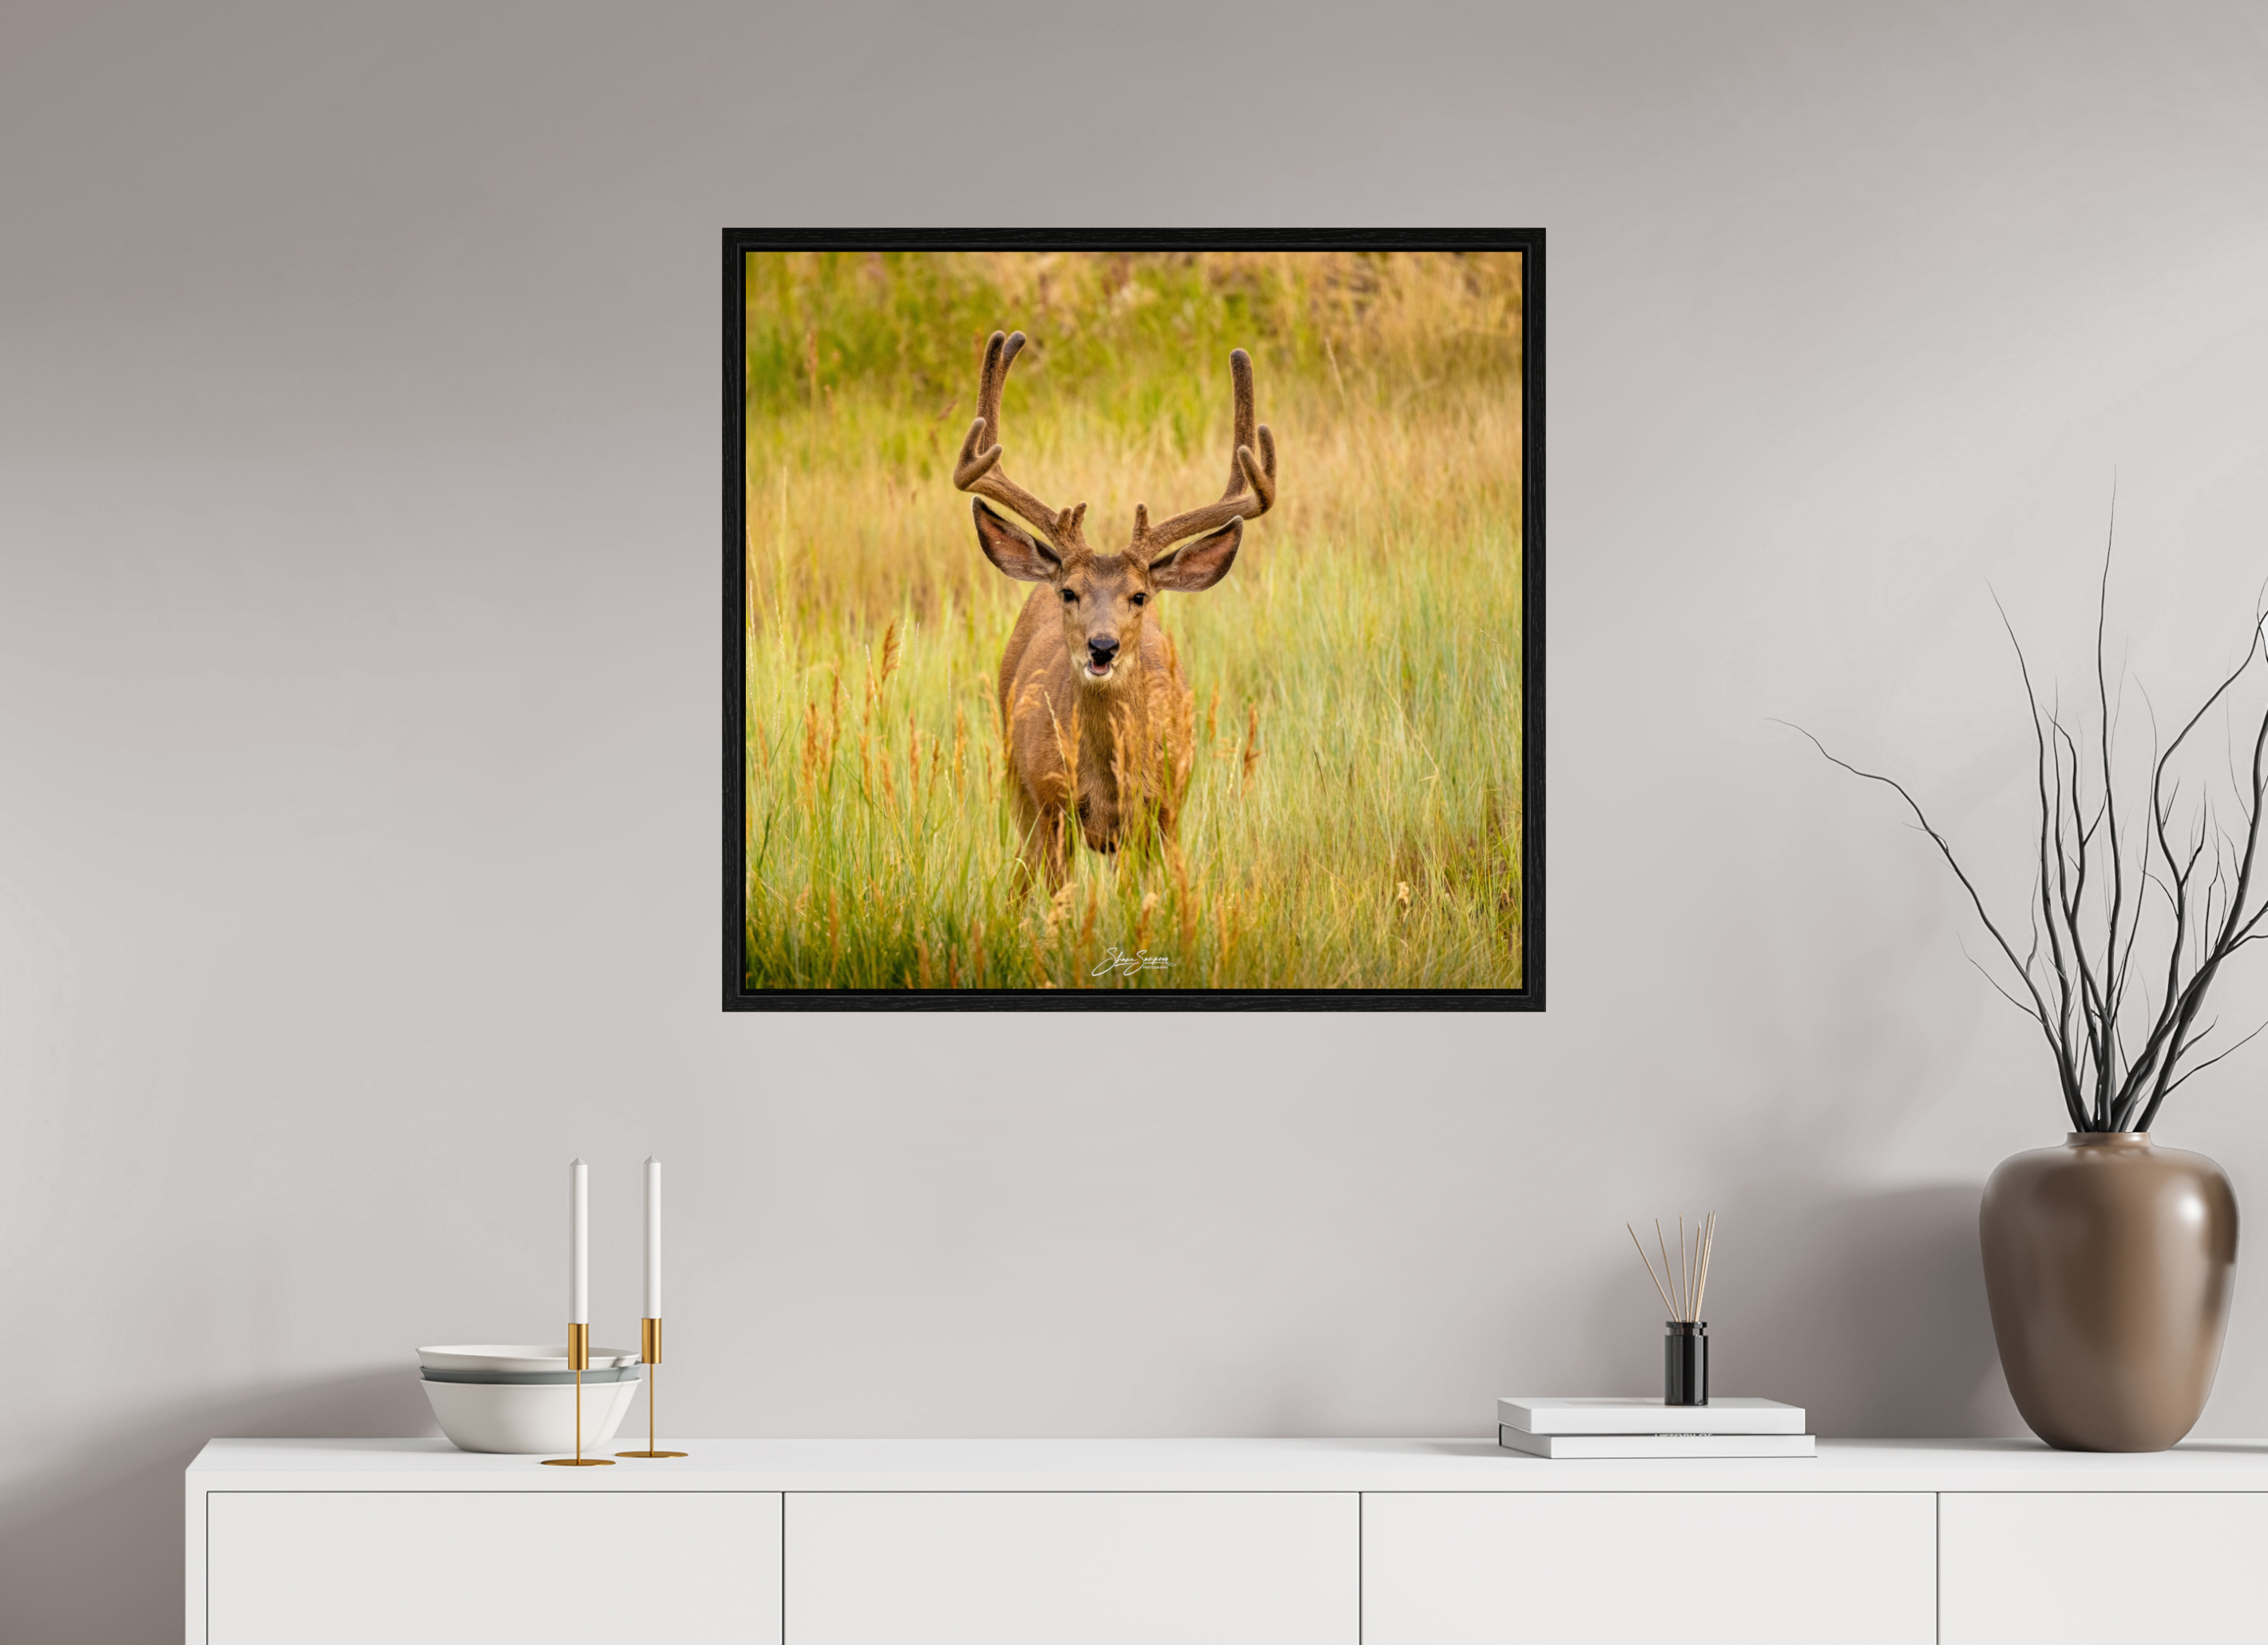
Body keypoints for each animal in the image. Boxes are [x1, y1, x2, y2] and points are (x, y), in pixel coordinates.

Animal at [954, 329, 1277, 889]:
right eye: (1069, 592)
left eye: (1139, 596)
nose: (1101, 646)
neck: (1106, 785)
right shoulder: (1051, 807)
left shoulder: (1164, 813)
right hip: (1016, 782)